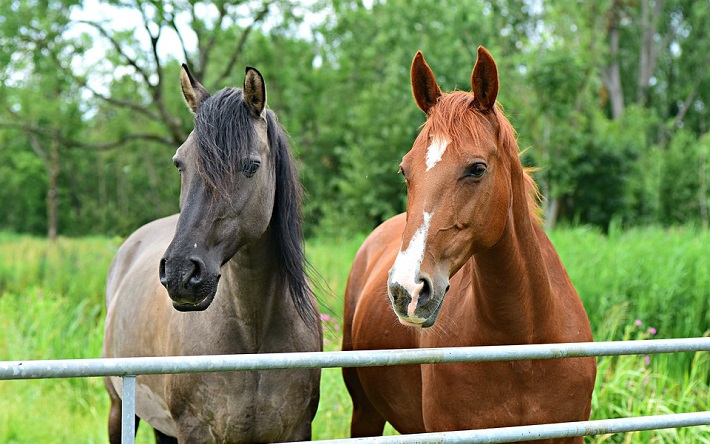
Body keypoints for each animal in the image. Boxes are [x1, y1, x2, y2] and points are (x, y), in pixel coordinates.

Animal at [102, 66, 322, 444]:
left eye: (251, 166)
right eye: (179, 163)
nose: (180, 273)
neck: (252, 337)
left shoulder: (297, 431)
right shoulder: (195, 431)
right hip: (120, 409)